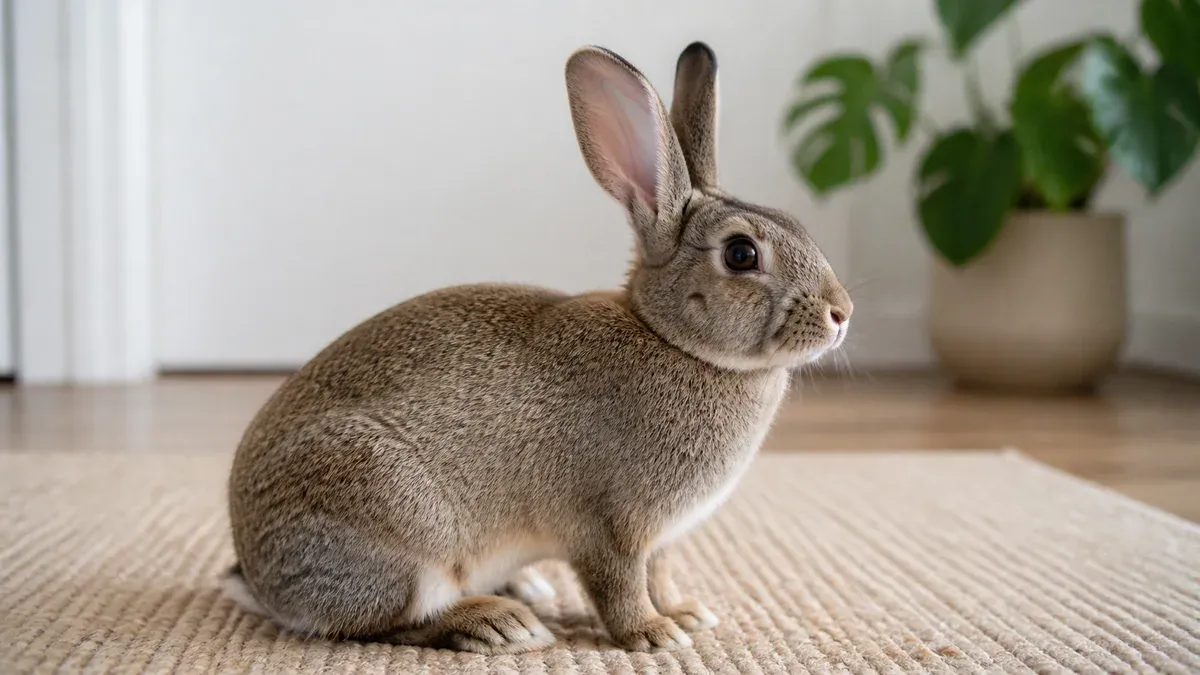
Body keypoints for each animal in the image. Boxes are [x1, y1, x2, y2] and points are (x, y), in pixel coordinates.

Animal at [223, 41, 853, 655]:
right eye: (741, 254)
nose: (841, 313)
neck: (672, 338)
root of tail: (257, 575)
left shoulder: (661, 539)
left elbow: (661, 574)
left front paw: (685, 613)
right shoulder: (609, 526)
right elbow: (619, 584)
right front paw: (653, 634)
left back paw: (526, 590)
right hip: (396, 522)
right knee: (381, 623)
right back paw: (499, 623)